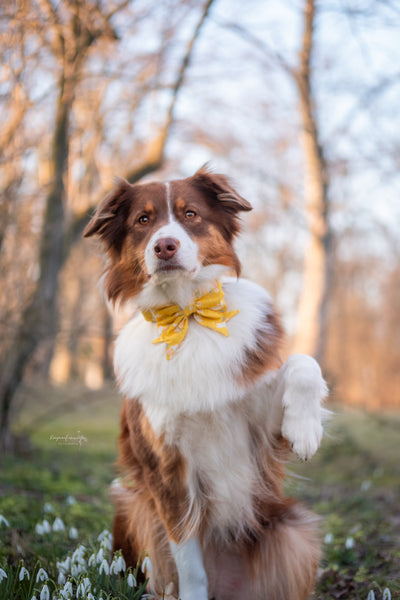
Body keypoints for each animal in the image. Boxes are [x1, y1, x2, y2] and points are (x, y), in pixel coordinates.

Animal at [84, 166, 328, 600]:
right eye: (142, 220)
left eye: (191, 214)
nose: (165, 245)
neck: (188, 315)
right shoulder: (166, 468)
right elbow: (190, 564)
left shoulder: (262, 433)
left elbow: (302, 363)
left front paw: (305, 429)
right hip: (130, 501)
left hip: (294, 531)